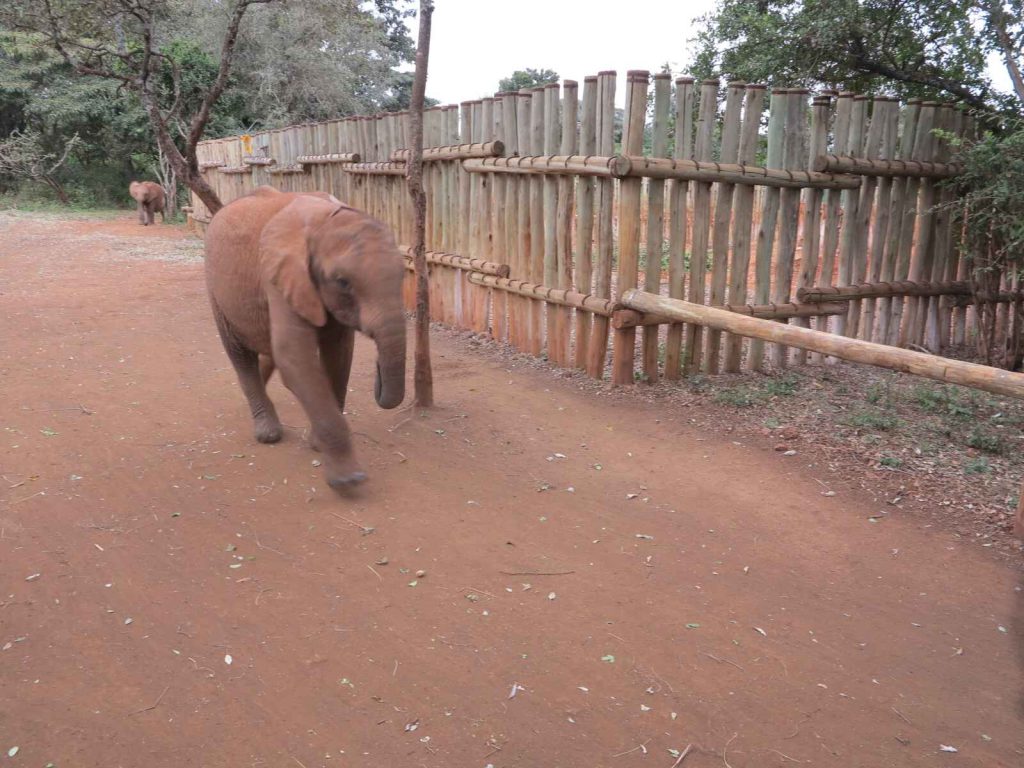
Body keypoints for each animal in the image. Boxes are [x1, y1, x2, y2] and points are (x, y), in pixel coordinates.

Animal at [204, 186, 407, 489]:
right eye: (343, 282)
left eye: (404, 274)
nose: (378, 372)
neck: (324, 220)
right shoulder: (279, 274)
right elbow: (294, 355)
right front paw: (348, 478)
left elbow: (338, 354)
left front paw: (317, 445)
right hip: (215, 287)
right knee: (239, 354)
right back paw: (267, 433)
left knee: (267, 349)